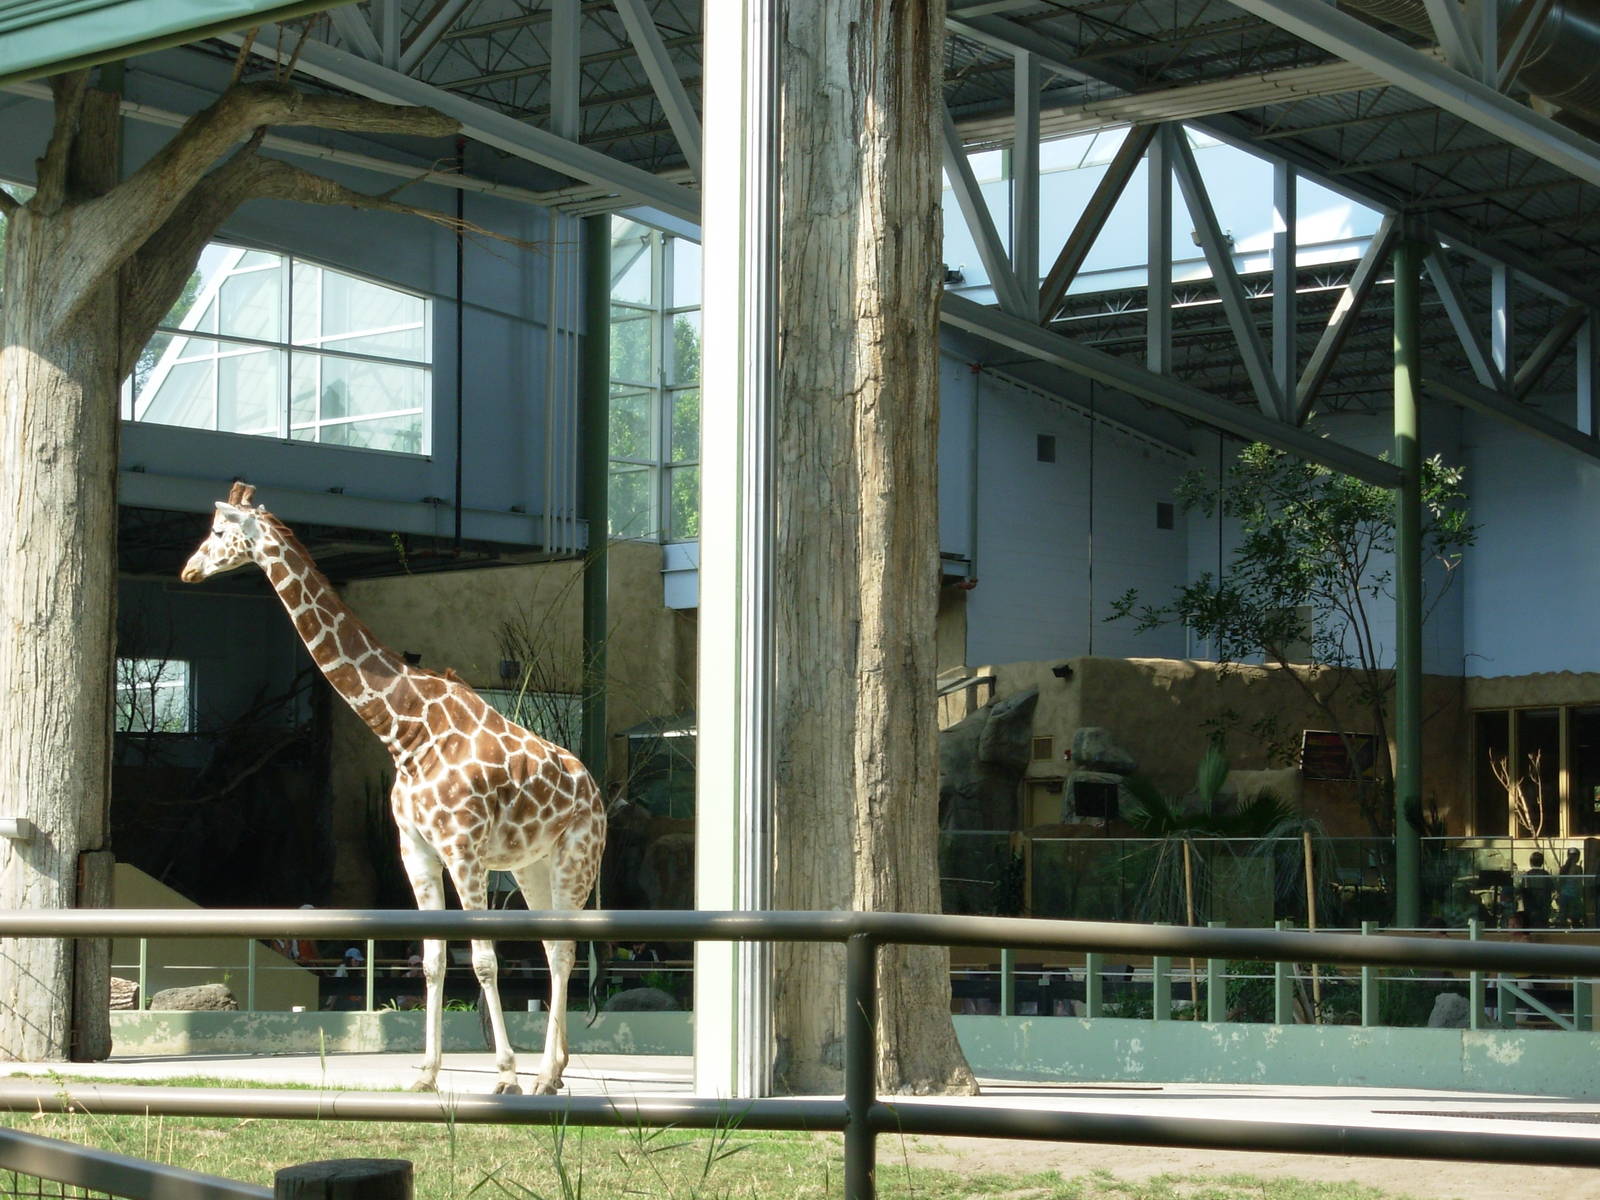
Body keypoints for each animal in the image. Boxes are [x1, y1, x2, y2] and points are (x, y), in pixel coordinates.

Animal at [180, 481, 606, 1095]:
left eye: (217, 531)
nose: (189, 570)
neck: (403, 730)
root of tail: (594, 788)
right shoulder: (416, 848)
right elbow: (432, 960)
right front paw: (426, 1075)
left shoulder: (463, 849)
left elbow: (483, 959)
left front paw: (503, 1075)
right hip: (532, 863)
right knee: (553, 946)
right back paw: (551, 1075)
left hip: (577, 855)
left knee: (566, 950)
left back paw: (542, 1074)